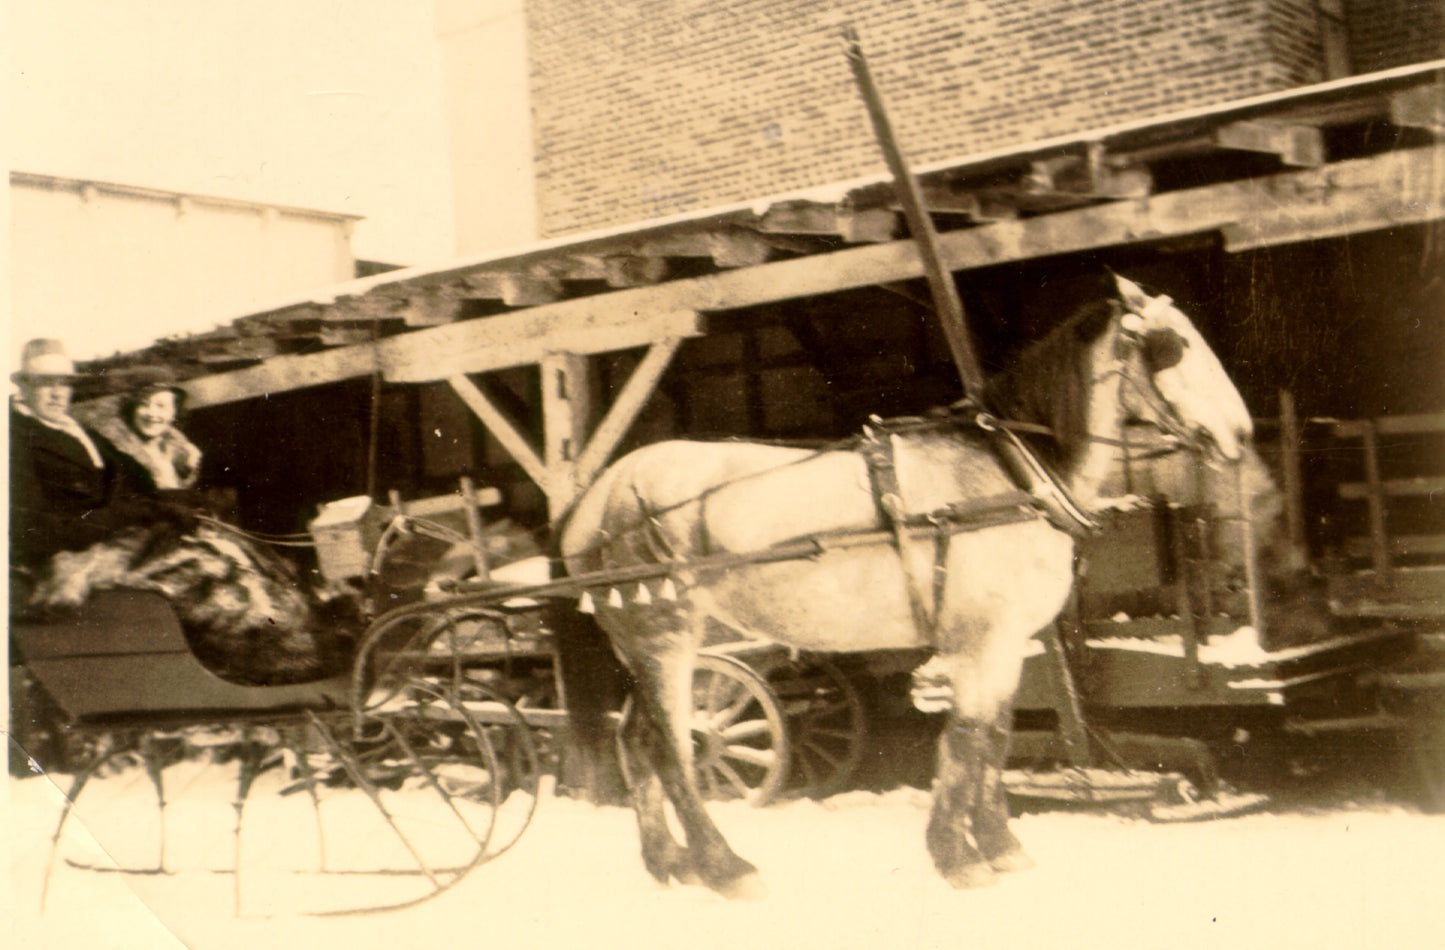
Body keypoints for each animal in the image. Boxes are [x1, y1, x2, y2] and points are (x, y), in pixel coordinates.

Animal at [551, 271, 1254, 896]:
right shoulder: (979, 641)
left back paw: (671, 863)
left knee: (636, 742)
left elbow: (995, 739)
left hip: (650, 646)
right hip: (665, 639)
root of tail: (598, 494)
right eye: (1174, 345)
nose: (1241, 435)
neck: (1011, 472)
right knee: (674, 749)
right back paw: (726, 868)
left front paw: (999, 846)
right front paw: (958, 857)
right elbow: (966, 743)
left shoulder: (1007, 646)